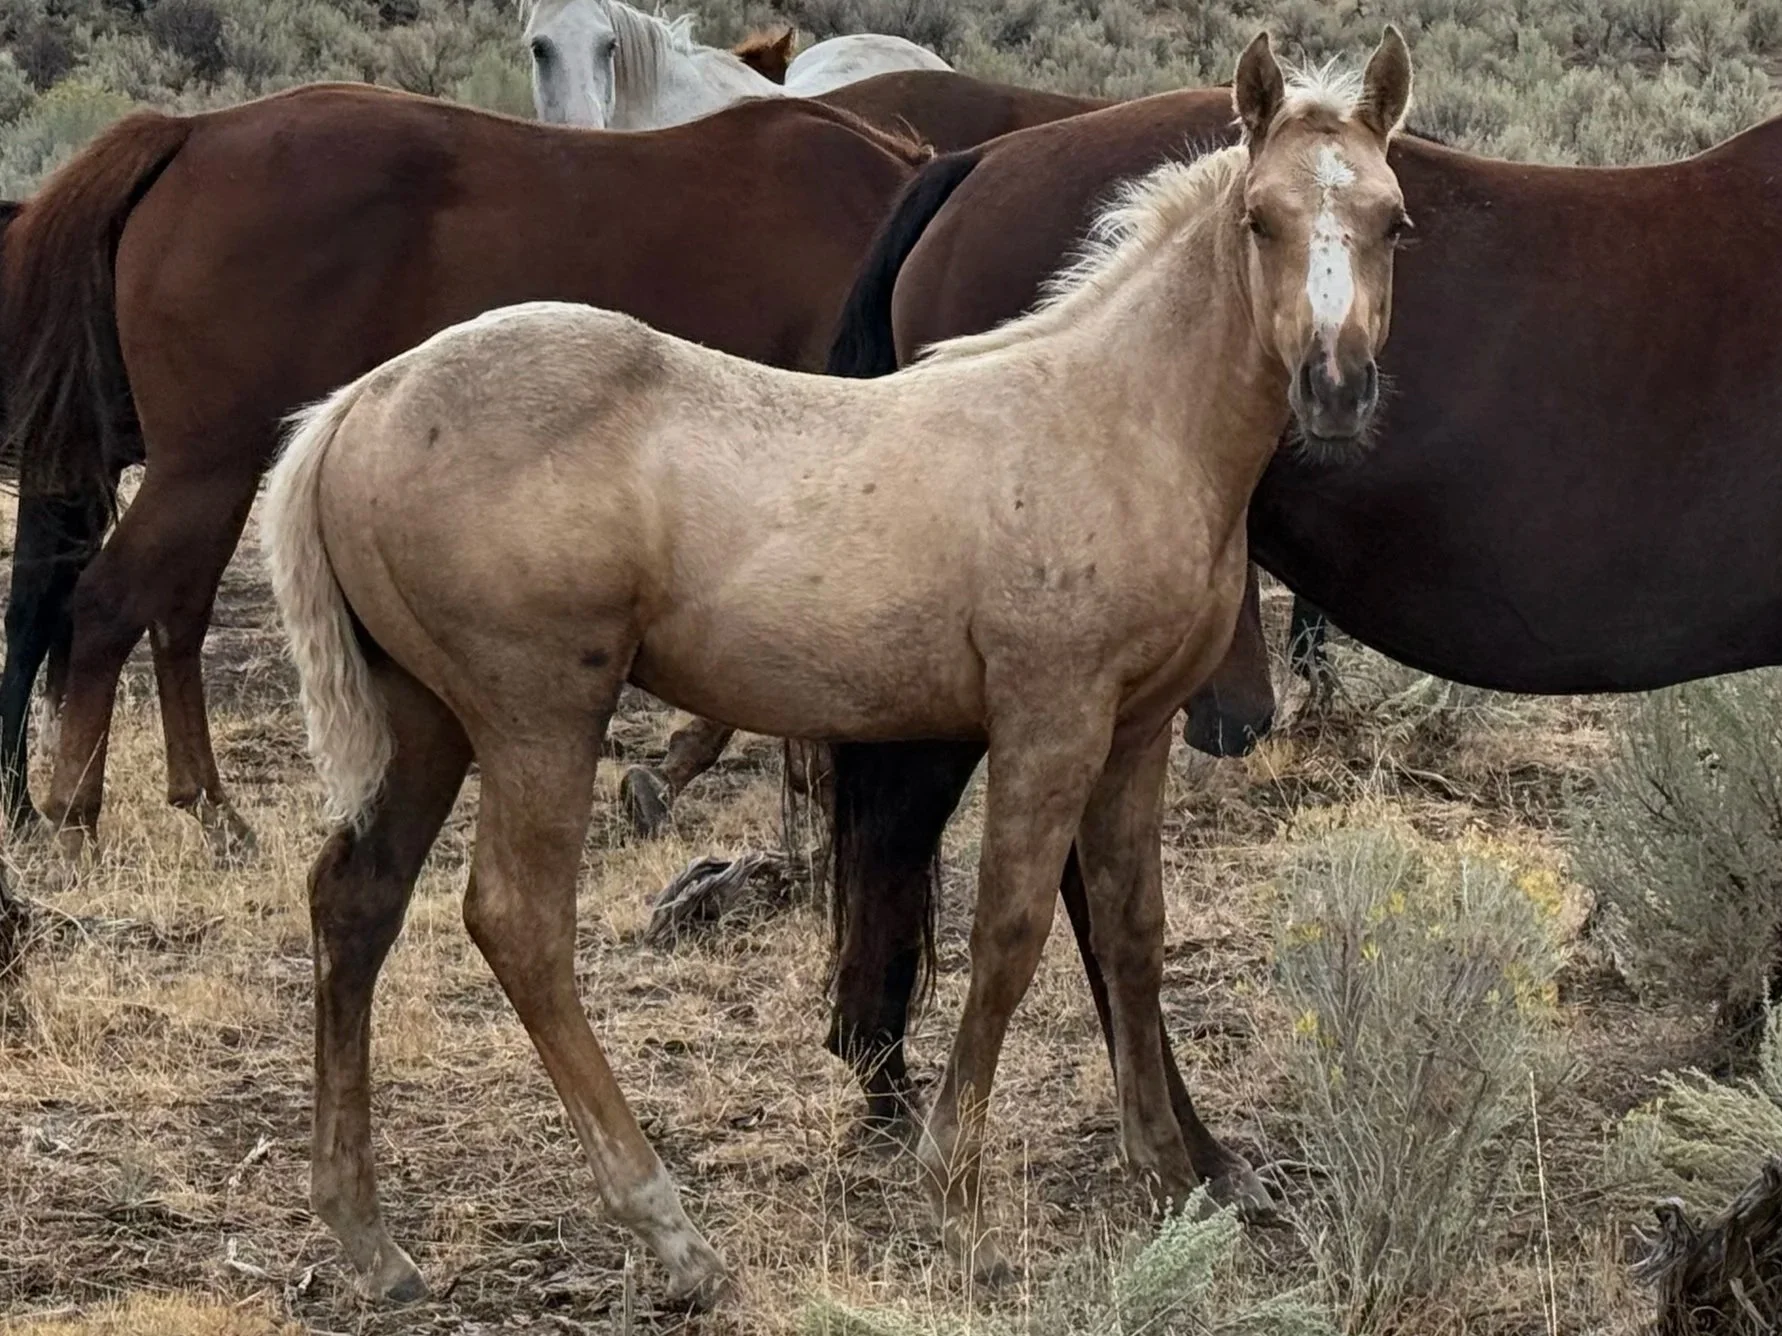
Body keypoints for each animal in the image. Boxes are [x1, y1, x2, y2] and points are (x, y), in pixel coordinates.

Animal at [0, 85, 930, 857]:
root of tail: (193, 134)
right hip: (205, 468)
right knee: (110, 607)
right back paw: (75, 813)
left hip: (217, 473)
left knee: (174, 617)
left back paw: (204, 806)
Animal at [262, 31, 1412, 1304]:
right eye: (1261, 218)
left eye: (1393, 220)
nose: (1337, 388)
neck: (1114, 422)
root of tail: (360, 403)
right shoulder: (1049, 718)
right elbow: (1010, 934)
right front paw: (953, 1192)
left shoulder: (1137, 731)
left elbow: (1132, 929)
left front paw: (1170, 1170)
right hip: (536, 715)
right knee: (518, 925)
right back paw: (670, 1231)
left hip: (425, 718)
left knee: (355, 900)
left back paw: (369, 1239)